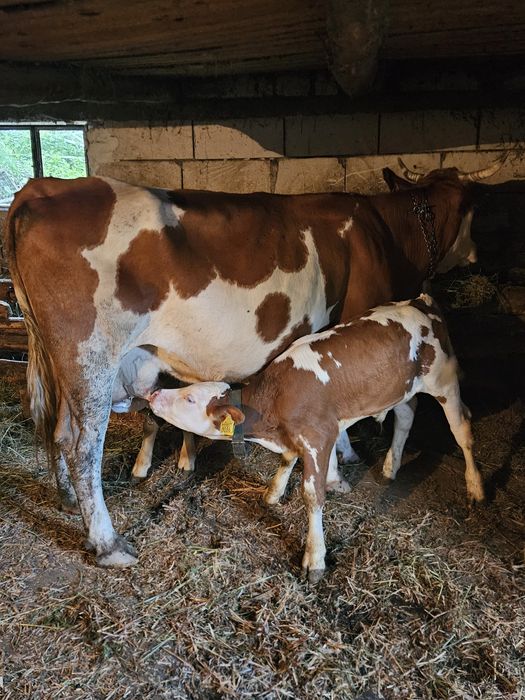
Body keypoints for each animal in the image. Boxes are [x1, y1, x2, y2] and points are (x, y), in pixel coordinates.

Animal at [147, 294, 485, 583]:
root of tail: (419, 301)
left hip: (443, 380)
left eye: (190, 399)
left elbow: (312, 495)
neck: (274, 401)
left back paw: (475, 487)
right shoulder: (307, 433)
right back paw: (391, 466)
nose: (154, 394)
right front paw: (275, 492)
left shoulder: (317, 435)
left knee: (462, 428)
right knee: (405, 416)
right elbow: (288, 459)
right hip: (399, 387)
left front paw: (315, 558)